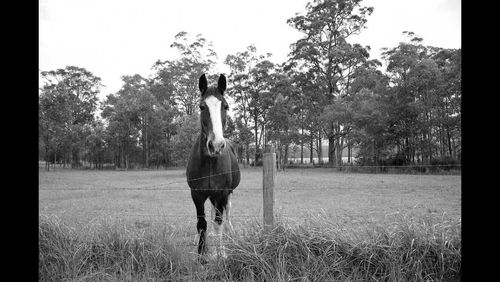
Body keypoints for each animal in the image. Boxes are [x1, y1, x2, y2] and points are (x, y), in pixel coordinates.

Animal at [188, 73, 242, 258]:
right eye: (202, 106)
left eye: (225, 106)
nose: (216, 145)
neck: (210, 163)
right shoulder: (197, 194)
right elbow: (201, 223)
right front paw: (201, 254)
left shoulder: (221, 193)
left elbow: (218, 222)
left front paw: (221, 254)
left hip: (227, 195)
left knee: (227, 214)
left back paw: (230, 233)